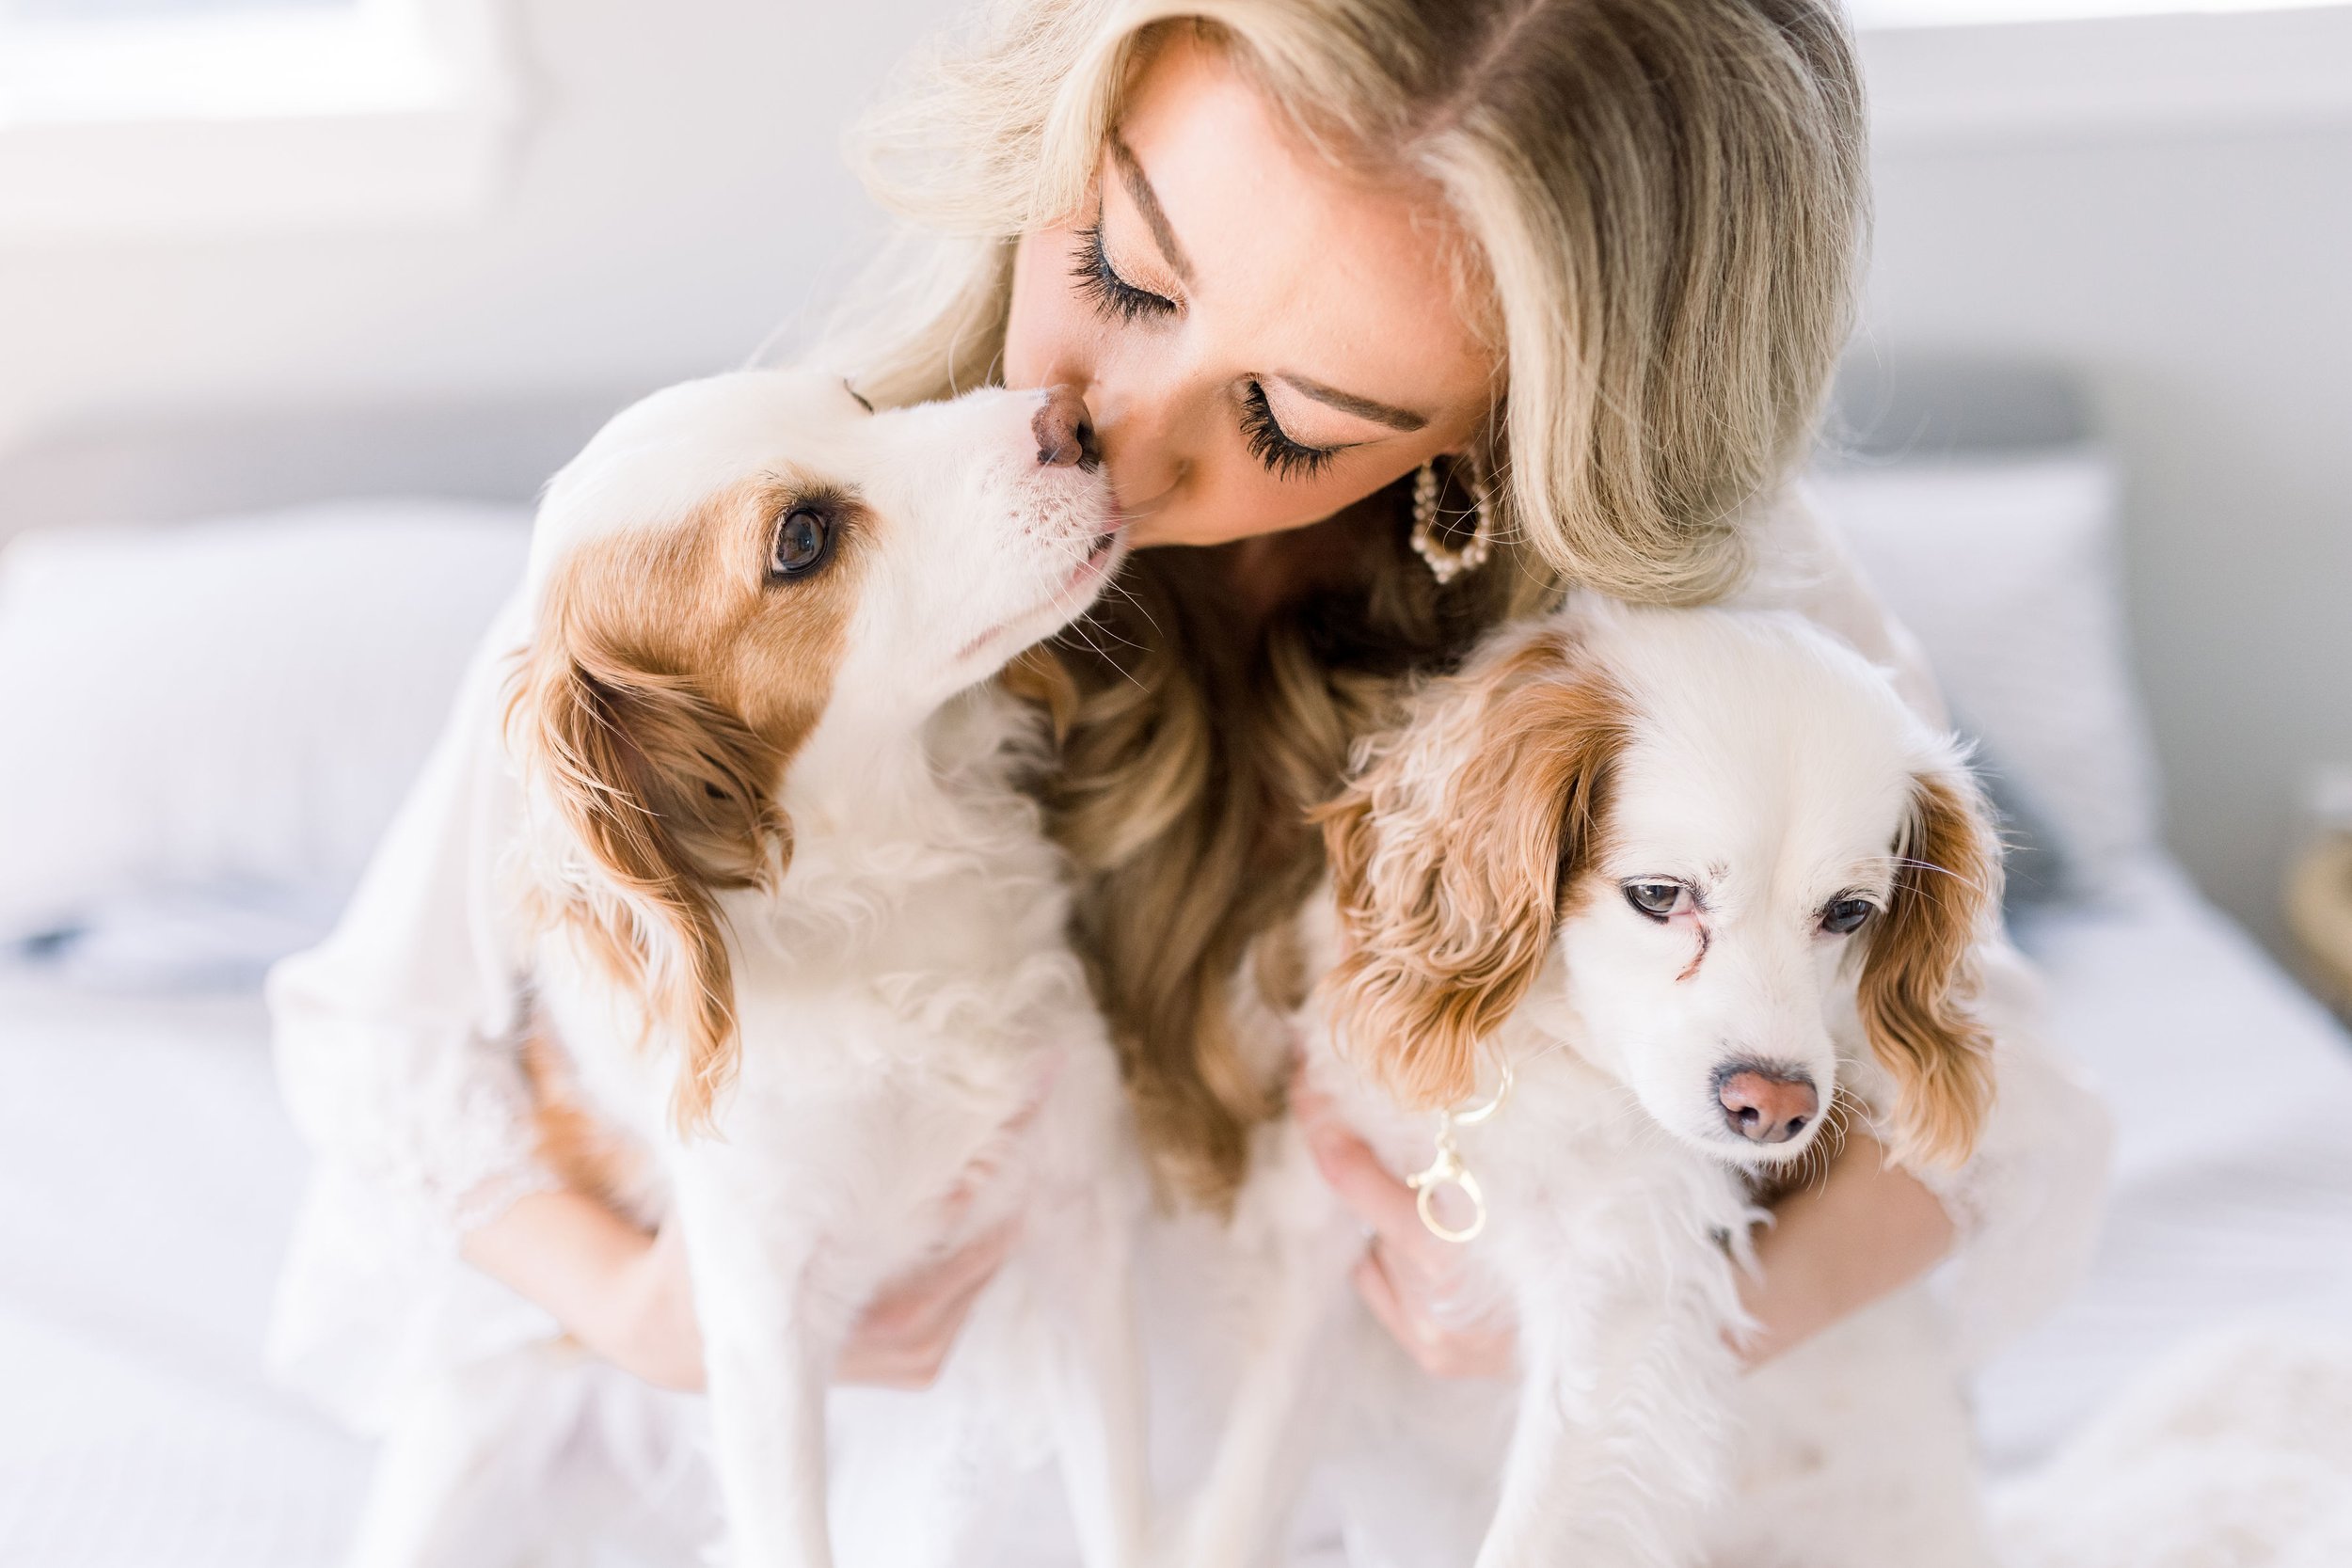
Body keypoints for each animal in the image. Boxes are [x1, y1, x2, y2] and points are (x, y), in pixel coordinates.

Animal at [348, 373, 1148, 1568]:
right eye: (801, 540)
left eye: (856, 399)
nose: (1071, 413)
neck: (890, 883)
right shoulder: (765, 1322)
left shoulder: (1075, 1228)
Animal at [1195, 601, 2004, 1568]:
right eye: (1658, 894)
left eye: (1848, 912)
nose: (1776, 1109)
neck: (1536, 1062)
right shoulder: (1318, 1253)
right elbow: (1239, 1501)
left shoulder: (1614, 1318)